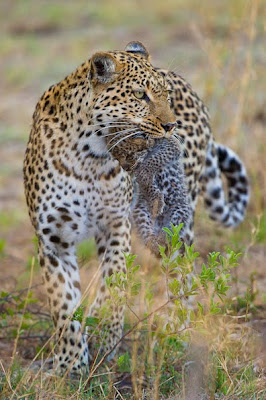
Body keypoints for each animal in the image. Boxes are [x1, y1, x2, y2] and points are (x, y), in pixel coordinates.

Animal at [23, 41, 249, 376]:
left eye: (164, 94)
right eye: (140, 95)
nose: (170, 126)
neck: (88, 155)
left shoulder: (117, 225)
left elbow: (113, 285)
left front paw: (105, 333)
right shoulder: (54, 239)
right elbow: (64, 305)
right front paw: (71, 364)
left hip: (176, 227)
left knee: (183, 277)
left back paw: (177, 333)